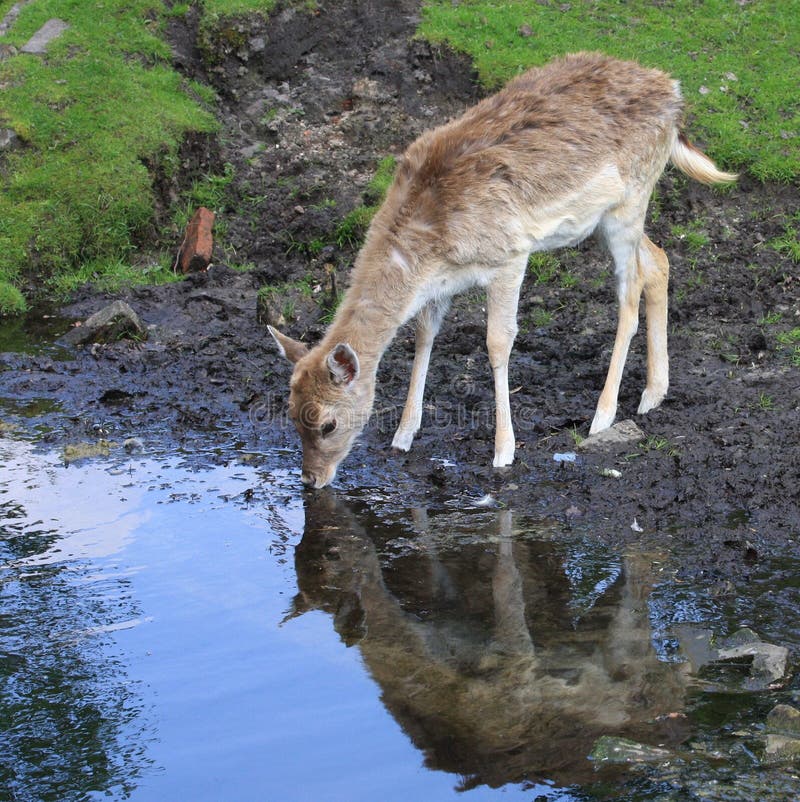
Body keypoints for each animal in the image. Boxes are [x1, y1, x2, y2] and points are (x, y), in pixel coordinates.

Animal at [268, 52, 737, 488]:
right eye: (290, 414)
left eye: (327, 423)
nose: (311, 479)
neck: (428, 243)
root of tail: (674, 92)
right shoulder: (441, 282)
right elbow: (424, 334)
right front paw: (403, 435)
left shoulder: (511, 254)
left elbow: (498, 341)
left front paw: (503, 450)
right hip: (611, 215)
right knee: (658, 260)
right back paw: (653, 394)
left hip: (631, 197)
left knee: (630, 292)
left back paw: (603, 415)